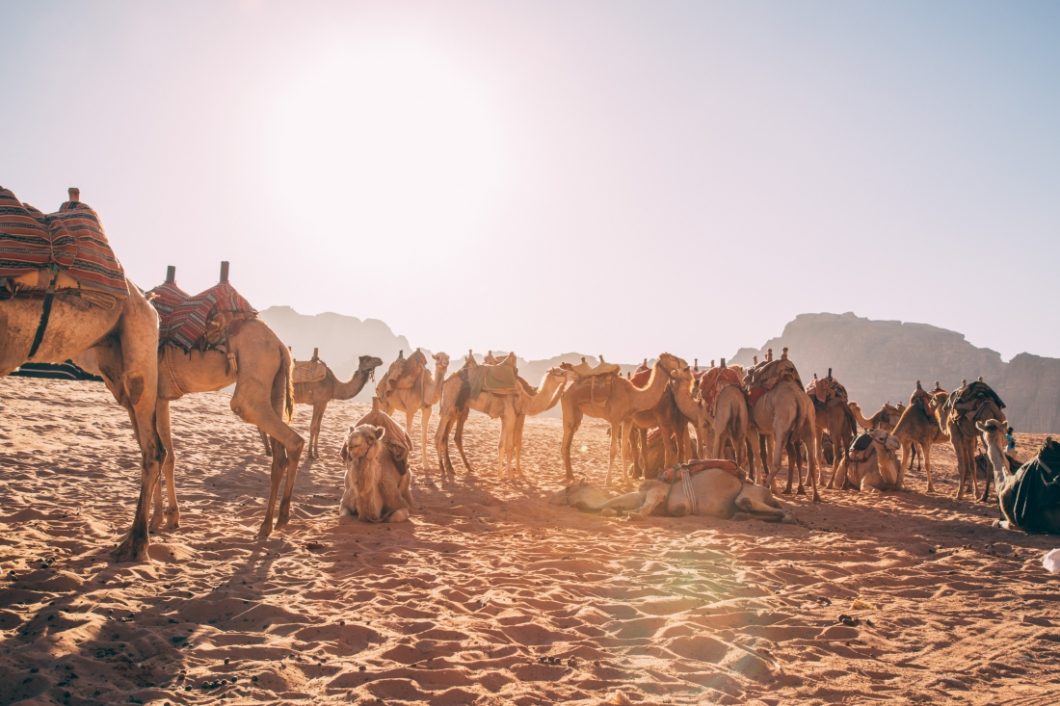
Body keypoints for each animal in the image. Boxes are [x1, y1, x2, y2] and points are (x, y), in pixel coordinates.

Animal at [147, 263, 303, 538]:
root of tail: (281, 346)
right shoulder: (161, 397)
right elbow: (167, 455)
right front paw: (170, 518)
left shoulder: (150, 393)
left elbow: (157, 453)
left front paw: (155, 520)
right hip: (275, 387)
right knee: (280, 455)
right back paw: (268, 524)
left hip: (252, 378)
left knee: (290, 438)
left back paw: (279, 520)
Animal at [555, 349, 686, 483]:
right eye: (672, 359)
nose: (685, 364)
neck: (633, 395)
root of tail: (565, 391)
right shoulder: (615, 419)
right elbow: (613, 450)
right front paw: (608, 481)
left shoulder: (628, 420)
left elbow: (624, 450)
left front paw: (627, 481)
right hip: (568, 406)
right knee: (565, 442)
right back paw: (570, 477)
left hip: (577, 413)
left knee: (568, 442)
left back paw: (571, 476)